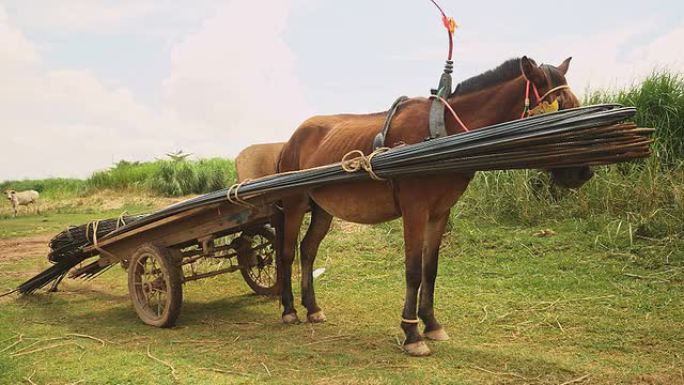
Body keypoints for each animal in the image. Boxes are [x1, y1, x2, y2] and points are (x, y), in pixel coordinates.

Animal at [276, 56, 592, 354]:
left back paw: (312, 308)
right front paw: (412, 334)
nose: (584, 173)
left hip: (322, 209)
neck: (442, 137)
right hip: (294, 203)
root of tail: (291, 139)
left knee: (308, 249)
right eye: (560, 109)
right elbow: (413, 270)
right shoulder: (415, 210)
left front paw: (431, 323)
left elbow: (430, 269)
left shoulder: (440, 213)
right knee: (287, 253)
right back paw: (289, 309)